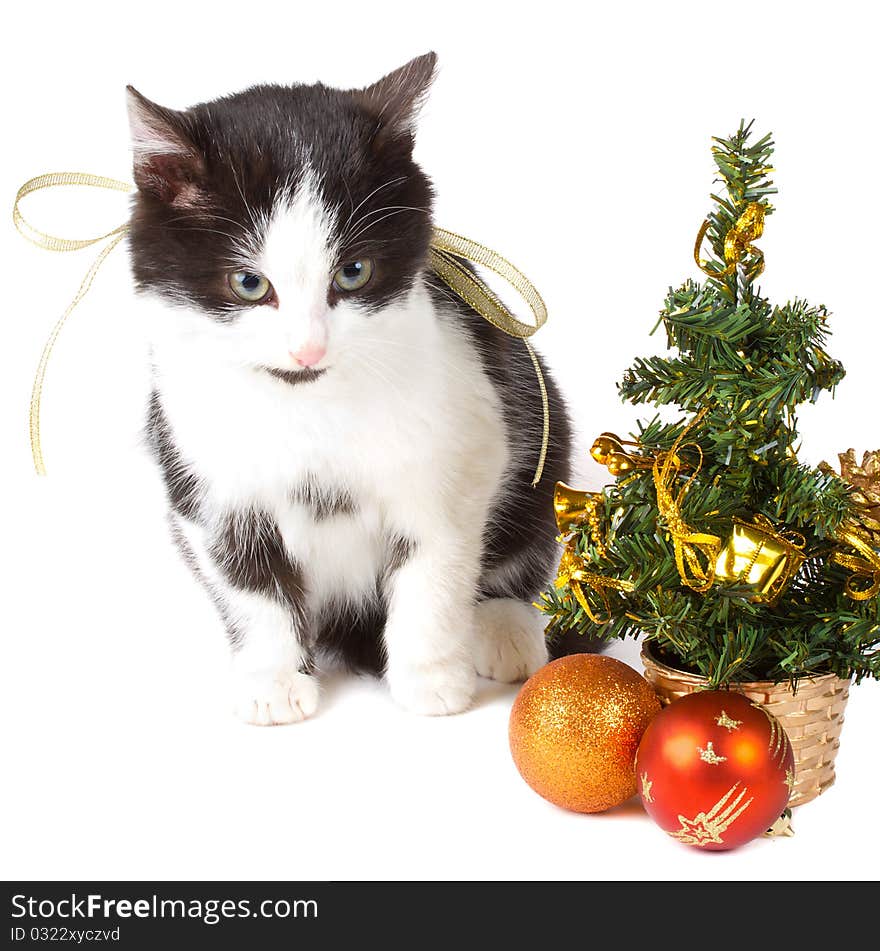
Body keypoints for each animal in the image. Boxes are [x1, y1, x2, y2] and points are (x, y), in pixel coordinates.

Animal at [127, 54, 576, 720]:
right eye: (249, 284)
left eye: (354, 272)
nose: (307, 349)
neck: (309, 407)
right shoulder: (206, 479)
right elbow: (247, 582)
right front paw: (273, 681)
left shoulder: (462, 446)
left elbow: (435, 564)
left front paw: (429, 679)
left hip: (542, 437)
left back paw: (503, 631)